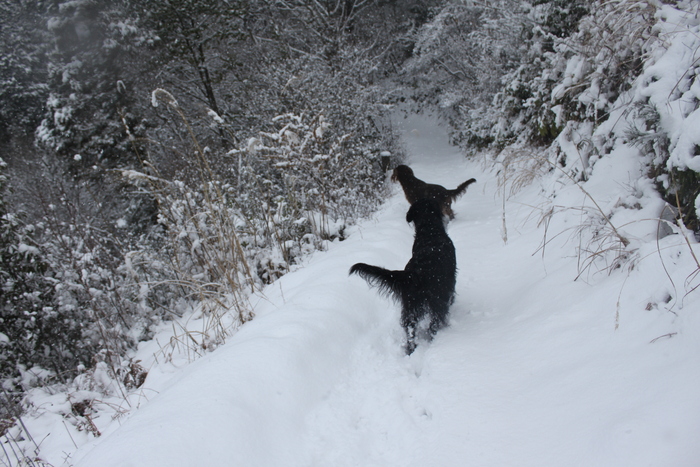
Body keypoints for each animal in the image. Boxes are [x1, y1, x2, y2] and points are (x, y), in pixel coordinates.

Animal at [350, 198, 460, 354]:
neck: (429, 231)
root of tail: (413, 274)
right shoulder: (449, 282)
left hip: (410, 304)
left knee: (410, 328)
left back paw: (410, 349)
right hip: (435, 299)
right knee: (434, 322)